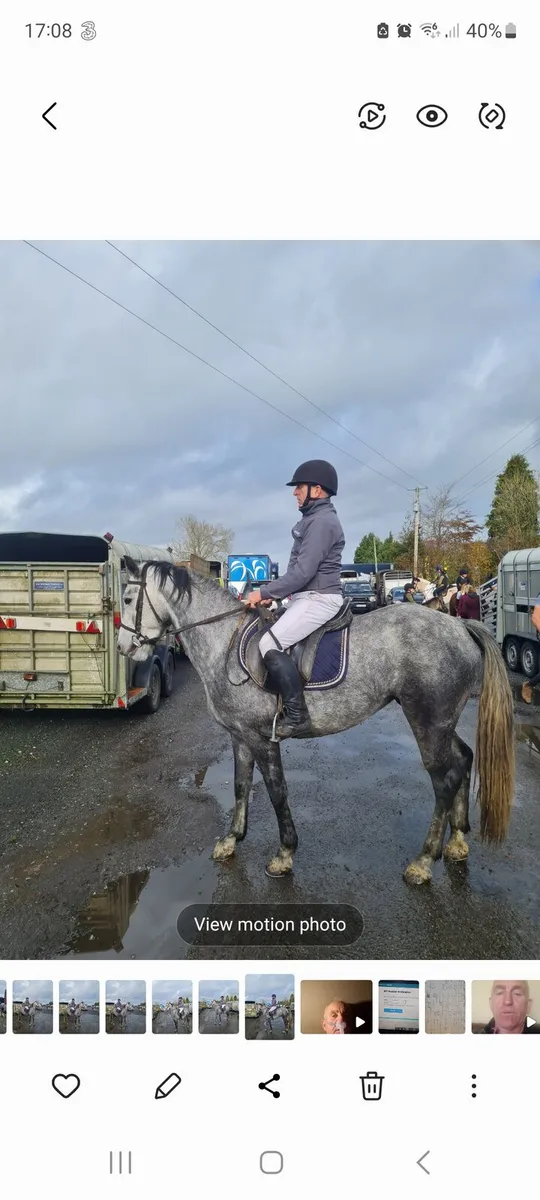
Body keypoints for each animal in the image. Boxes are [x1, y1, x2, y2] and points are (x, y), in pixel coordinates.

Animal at [116, 560, 515, 887]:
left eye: (127, 598)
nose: (123, 648)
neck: (223, 644)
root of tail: (459, 626)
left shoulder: (262, 740)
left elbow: (276, 792)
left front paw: (284, 854)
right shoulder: (240, 737)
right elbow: (241, 787)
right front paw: (231, 841)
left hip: (427, 721)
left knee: (443, 781)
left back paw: (424, 861)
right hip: (443, 722)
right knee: (463, 761)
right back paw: (458, 843)